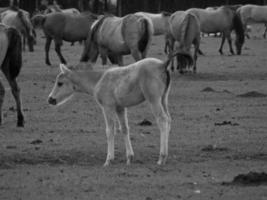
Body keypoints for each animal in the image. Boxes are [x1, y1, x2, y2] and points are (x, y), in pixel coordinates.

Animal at [48, 52, 191, 166]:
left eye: (60, 83)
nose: (50, 99)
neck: (99, 78)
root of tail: (162, 64)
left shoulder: (107, 107)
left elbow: (110, 131)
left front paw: (108, 160)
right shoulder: (120, 108)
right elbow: (124, 129)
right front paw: (129, 158)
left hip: (154, 100)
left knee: (162, 120)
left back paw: (161, 158)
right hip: (163, 99)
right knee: (169, 120)